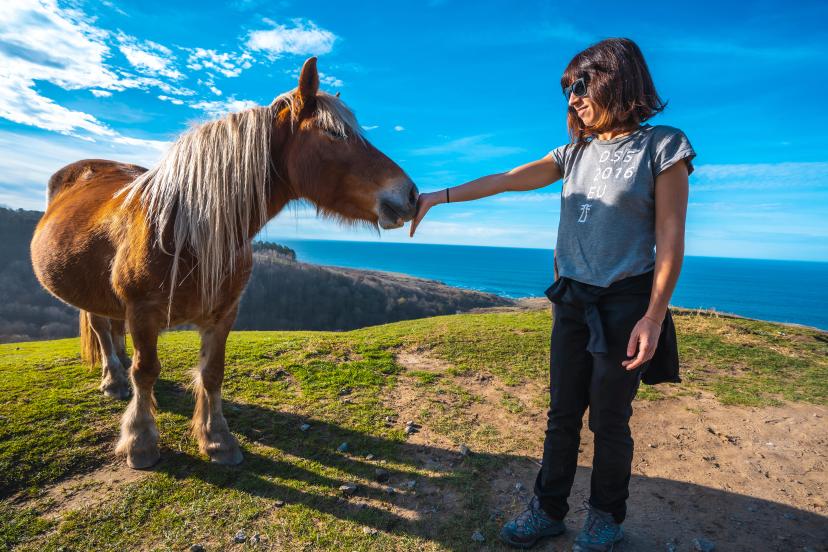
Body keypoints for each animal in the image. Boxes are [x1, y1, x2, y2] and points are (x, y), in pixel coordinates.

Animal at [30, 57, 419, 469]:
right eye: (334, 133)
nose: (410, 194)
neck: (186, 229)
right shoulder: (143, 311)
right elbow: (146, 371)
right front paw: (140, 440)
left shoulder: (224, 312)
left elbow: (212, 374)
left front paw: (217, 439)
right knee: (104, 330)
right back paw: (115, 379)